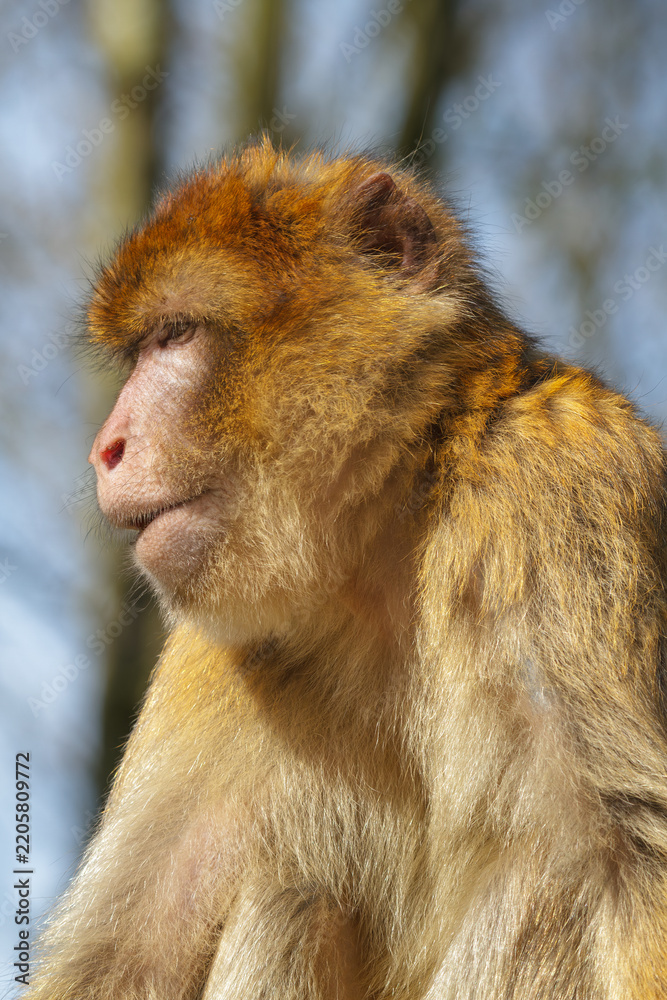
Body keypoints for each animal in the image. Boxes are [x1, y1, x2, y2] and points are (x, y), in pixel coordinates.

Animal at [24, 137, 667, 999]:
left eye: (176, 336)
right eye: (142, 347)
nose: (106, 447)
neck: (383, 550)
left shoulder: (558, 490)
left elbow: (631, 854)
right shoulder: (209, 650)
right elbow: (123, 955)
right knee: (293, 894)